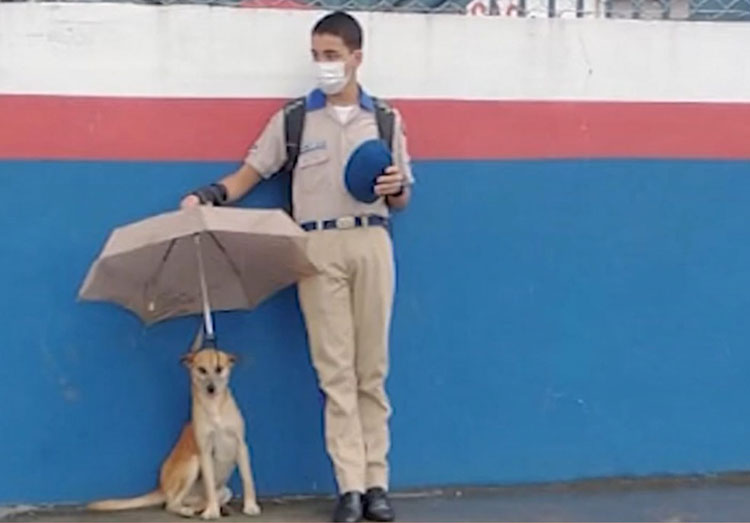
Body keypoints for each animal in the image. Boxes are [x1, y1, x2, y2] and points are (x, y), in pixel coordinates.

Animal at [87, 332, 262, 520]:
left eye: (219, 369)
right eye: (202, 370)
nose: (211, 388)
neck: (214, 407)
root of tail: (161, 488)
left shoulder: (241, 445)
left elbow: (248, 480)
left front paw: (250, 506)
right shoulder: (204, 452)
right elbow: (209, 484)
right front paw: (212, 511)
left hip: (224, 490)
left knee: (199, 500)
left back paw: (211, 508)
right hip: (192, 464)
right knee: (172, 504)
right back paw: (191, 510)